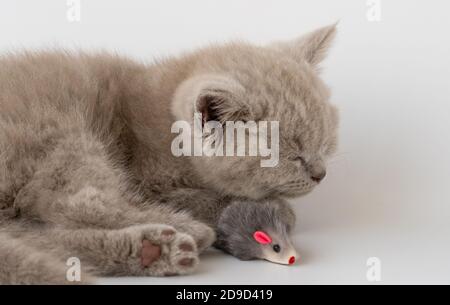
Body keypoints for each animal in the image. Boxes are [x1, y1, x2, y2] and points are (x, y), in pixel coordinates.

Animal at [0, 23, 338, 282]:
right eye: (293, 156)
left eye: (324, 144)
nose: (320, 174)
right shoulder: (153, 182)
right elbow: (203, 198)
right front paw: (275, 209)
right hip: (61, 134)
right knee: (79, 205)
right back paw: (189, 233)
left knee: (40, 232)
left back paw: (153, 250)